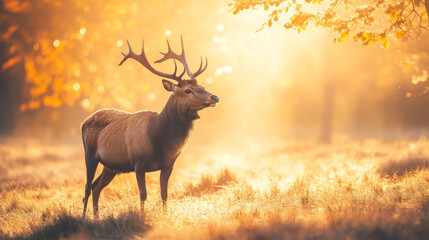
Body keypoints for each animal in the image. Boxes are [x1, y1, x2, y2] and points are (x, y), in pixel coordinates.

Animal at [81, 36, 219, 218]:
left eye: (202, 87)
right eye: (188, 90)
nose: (214, 97)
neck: (159, 141)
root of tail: (84, 122)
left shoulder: (168, 165)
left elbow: (164, 194)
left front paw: (165, 217)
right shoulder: (138, 162)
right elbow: (143, 194)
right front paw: (141, 217)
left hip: (110, 166)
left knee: (96, 188)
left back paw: (96, 218)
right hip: (89, 154)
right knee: (86, 187)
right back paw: (83, 218)